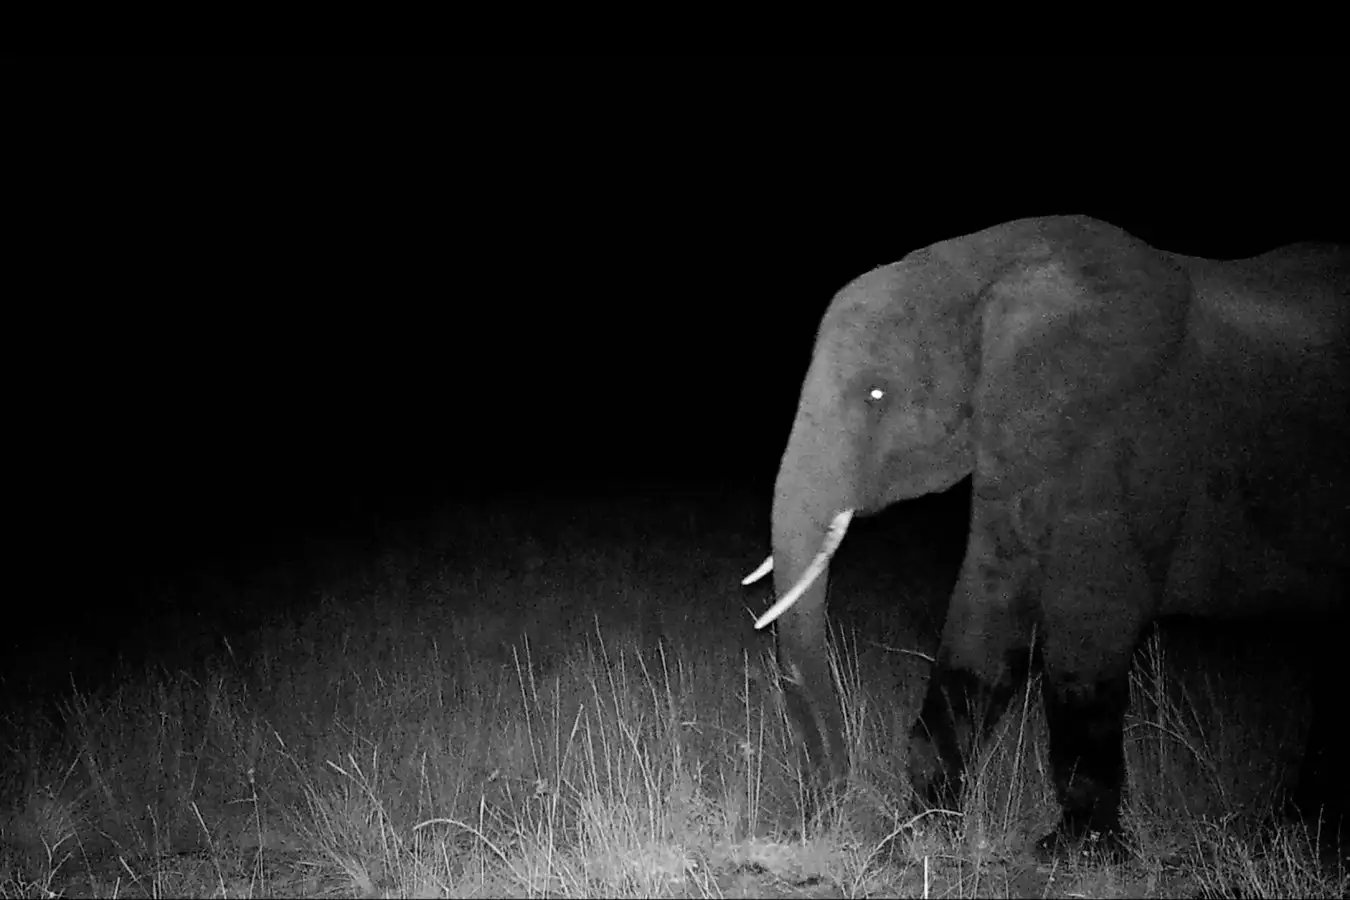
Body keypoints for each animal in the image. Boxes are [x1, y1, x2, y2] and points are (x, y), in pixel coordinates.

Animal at [743, 215, 1348, 854]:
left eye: (877, 394)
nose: (827, 810)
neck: (983, 269)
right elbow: (989, 612)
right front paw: (922, 830)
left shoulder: (1123, 437)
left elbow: (1090, 629)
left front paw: (1076, 850)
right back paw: (1301, 827)